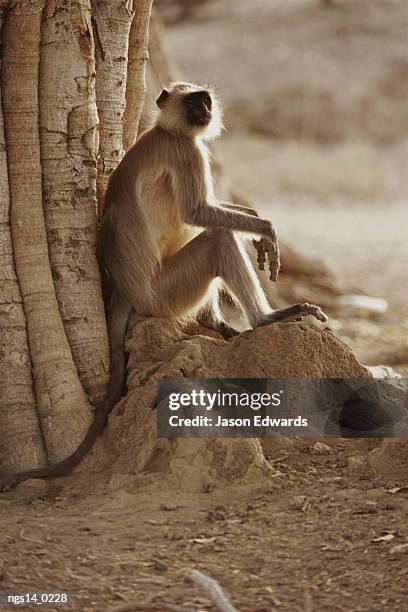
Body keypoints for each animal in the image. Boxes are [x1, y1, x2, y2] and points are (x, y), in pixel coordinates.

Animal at [0, 82, 326, 492]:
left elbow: (209, 212)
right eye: (195, 102)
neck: (167, 130)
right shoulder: (186, 152)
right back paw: (264, 319)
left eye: (205, 99)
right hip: (164, 293)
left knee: (216, 234)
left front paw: (255, 219)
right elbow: (197, 212)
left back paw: (217, 324)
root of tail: (125, 290)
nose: (205, 110)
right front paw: (265, 228)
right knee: (217, 237)